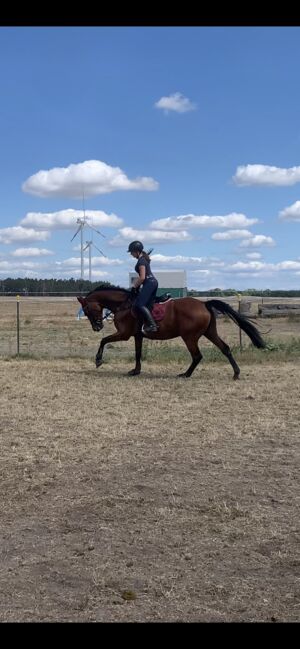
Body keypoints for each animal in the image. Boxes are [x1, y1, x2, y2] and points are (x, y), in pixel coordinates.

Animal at [77, 286, 264, 378]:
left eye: (86, 310)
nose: (97, 327)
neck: (123, 304)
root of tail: (204, 304)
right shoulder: (137, 335)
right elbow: (138, 353)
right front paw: (135, 371)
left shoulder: (124, 334)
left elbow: (103, 340)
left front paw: (98, 360)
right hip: (209, 333)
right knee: (225, 348)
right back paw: (236, 373)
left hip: (189, 337)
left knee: (197, 356)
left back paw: (185, 374)